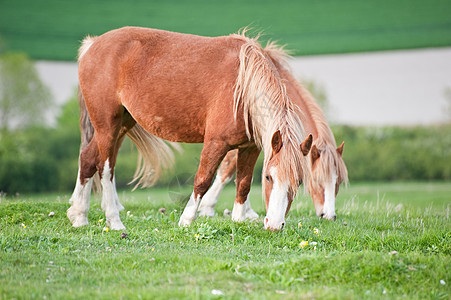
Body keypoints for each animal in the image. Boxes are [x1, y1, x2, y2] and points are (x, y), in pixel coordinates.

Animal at [67, 27, 312, 231]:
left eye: (299, 181)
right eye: (269, 178)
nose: (275, 226)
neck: (243, 89)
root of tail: (93, 43)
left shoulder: (250, 148)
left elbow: (243, 184)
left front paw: (238, 220)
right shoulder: (216, 143)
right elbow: (203, 180)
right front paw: (186, 220)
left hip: (122, 123)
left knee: (87, 159)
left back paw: (79, 216)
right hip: (107, 125)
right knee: (105, 168)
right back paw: (114, 221)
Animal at [198, 44, 350, 223]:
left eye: (338, 181)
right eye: (317, 179)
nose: (329, 216)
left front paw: (246, 211)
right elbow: (228, 169)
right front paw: (207, 208)